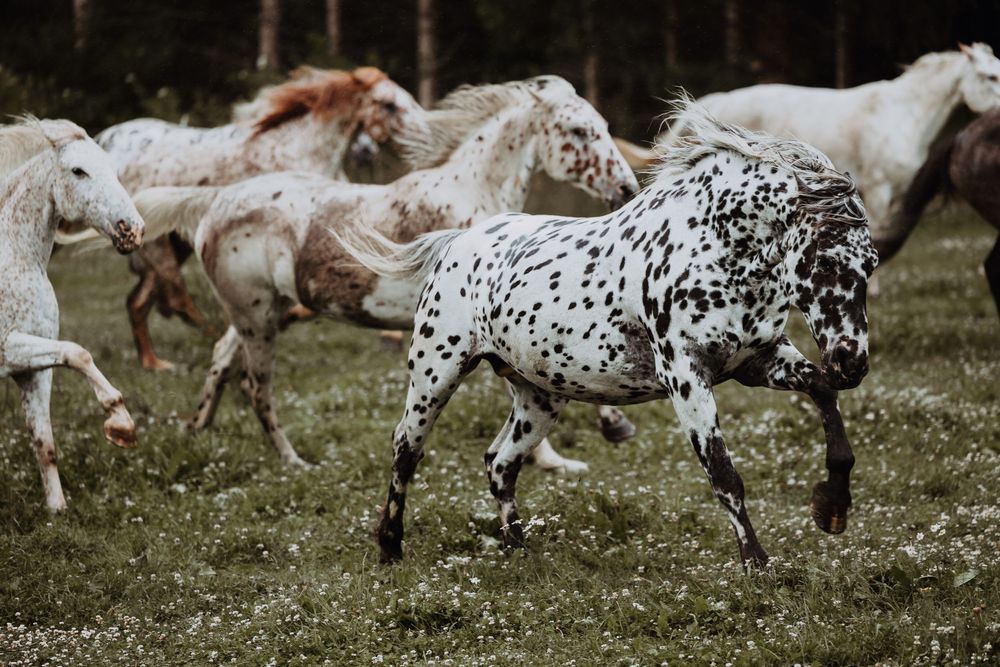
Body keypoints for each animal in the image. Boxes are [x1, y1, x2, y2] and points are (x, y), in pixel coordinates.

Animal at [0, 118, 144, 512]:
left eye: (113, 168)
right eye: (78, 171)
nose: (132, 230)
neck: (16, 261)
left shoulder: (31, 371)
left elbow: (45, 445)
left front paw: (57, 512)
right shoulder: (7, 348)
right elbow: (78, 352)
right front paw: (120, 424)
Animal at [91, 66, 428, 371]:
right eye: (389, 104)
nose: (367, 152)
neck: (301, 147)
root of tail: (105, 141)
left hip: (171, 244)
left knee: (140, 302)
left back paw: (156, 363)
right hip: (157, 244)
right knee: (175, 300)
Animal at [125, 75, 639, 473]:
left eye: (603, 126)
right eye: (578, 130)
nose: (626, 188)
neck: (472, 198)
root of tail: (216, 201)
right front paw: (580, 445)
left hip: (261, 312)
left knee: (221, 359)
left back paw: (198, 429)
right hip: (256, 318)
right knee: (257, 386)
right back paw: (294, 460)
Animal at [339, 102, 878, 567]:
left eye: (870, 264)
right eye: (824, 262)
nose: (852, 362)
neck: (712, 246)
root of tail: (456, 242)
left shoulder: (759, 360)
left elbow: (824, 397)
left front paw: (832, 509)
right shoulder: (688, 378)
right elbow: (725, 475)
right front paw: (757, 565)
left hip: (538, 397)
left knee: (499, 462)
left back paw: (519, 549)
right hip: (436, 375)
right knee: (407, 450)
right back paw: (390, 546)